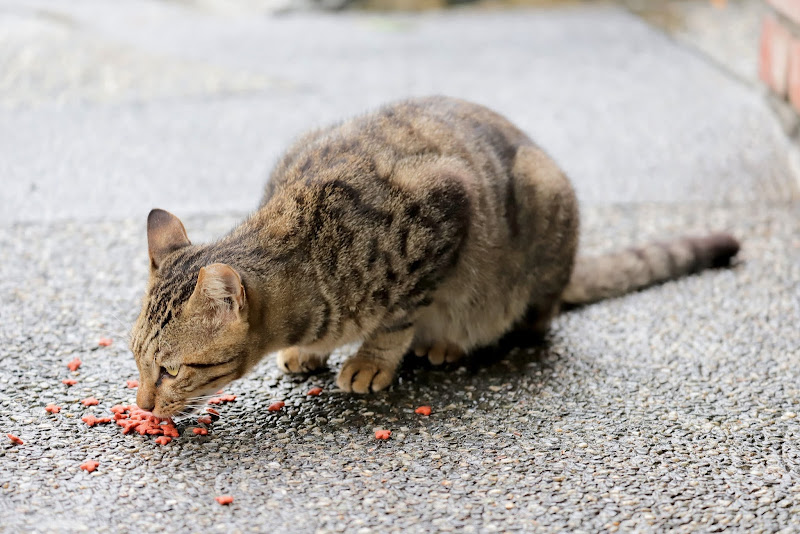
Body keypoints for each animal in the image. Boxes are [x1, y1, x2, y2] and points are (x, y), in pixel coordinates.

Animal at [130, 98, 736, 420]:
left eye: (172, 369)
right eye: (137, 362)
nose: (141, 404)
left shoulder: (445, 207)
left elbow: (398, 315)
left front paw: (372, 359)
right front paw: (309, 349)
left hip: (544, 202)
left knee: (531, 319)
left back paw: (451, 340)